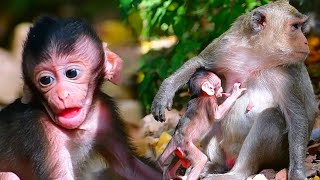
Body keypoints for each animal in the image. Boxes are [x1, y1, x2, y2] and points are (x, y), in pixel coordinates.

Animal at [0, 16, 161, 179]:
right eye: (45, 80)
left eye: (71, 73)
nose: (62, 95)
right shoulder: (41, 130)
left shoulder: (105, 112)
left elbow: (128, 166)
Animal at [152, 0, 318, 179]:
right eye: (295, 27)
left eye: (301, 26)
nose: (306, 41)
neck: (260, 57)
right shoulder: (227, 45)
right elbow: (200, 62)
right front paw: (165, 91)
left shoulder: (291, 73)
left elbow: (296, 116)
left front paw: (297, 172)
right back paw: (214, 166)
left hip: (278, 157)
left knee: (271, 117)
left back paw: (236, 173)